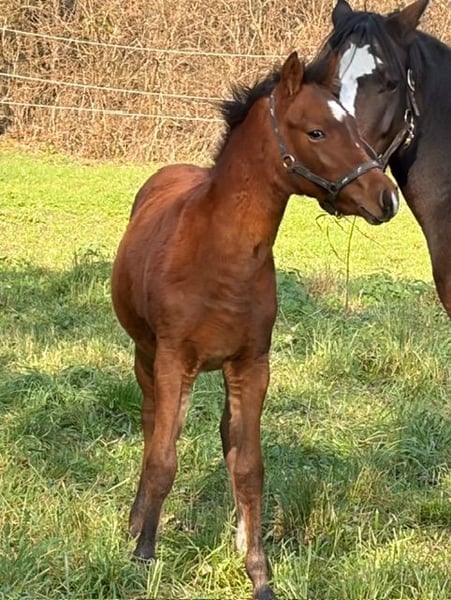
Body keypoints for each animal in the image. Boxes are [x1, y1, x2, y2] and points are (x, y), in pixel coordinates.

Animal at [111, 51, 398, 600]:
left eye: (355, 125)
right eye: (316, 131)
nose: (386, 197)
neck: (219, 257)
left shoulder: (252, 363)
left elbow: (248, 465)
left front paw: (259, 571)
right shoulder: (173, 358)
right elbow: (163, 458)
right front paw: (142, 556)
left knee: (226, 436)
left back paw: (240, 533)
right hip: (145, 353)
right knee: (152, 423)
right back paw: (138, 522)